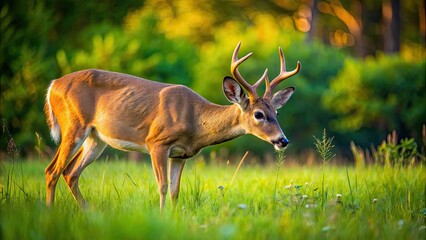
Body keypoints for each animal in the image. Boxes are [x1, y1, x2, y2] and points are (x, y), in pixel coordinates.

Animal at [45, 42, 302, 211]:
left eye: (276, 112)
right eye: (259, 114)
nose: (283, 140)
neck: (195, 120)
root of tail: (53, 85)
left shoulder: (181, 154)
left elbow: (175, 190)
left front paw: (175, 216)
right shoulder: (156, 142)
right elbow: (162, 185)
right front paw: (161, 216)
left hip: (96, 139)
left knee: (70, 172)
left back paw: (88, 212)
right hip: (74, 125)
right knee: (53, 170)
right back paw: (50, 212)